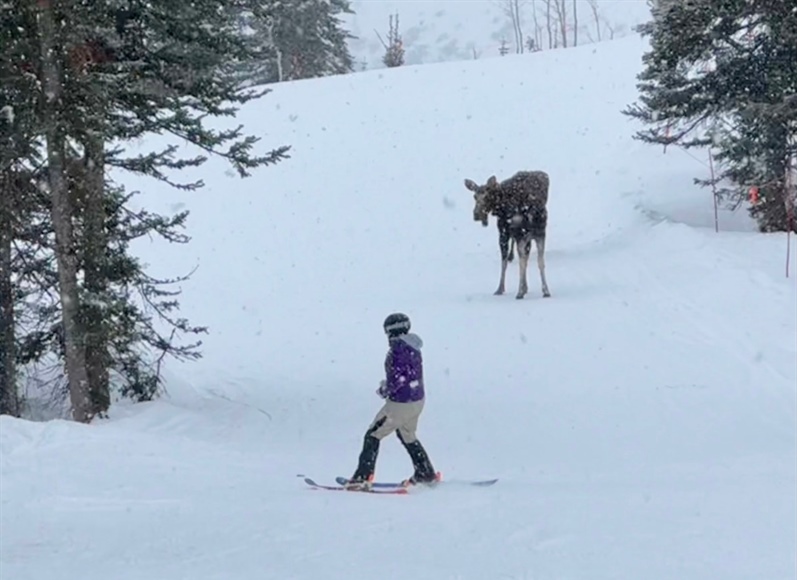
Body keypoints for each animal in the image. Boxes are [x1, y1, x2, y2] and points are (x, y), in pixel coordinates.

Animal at [464, 169, 552, 300]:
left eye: (486, 196)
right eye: (474, 196)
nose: (476, 214)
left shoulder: (504, 233)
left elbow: (504, 262)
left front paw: (500, 289)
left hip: (524, 234)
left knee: (523, 260)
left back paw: (520, 292)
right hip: (539, 233)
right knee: (539, 260)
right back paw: (544, 291)